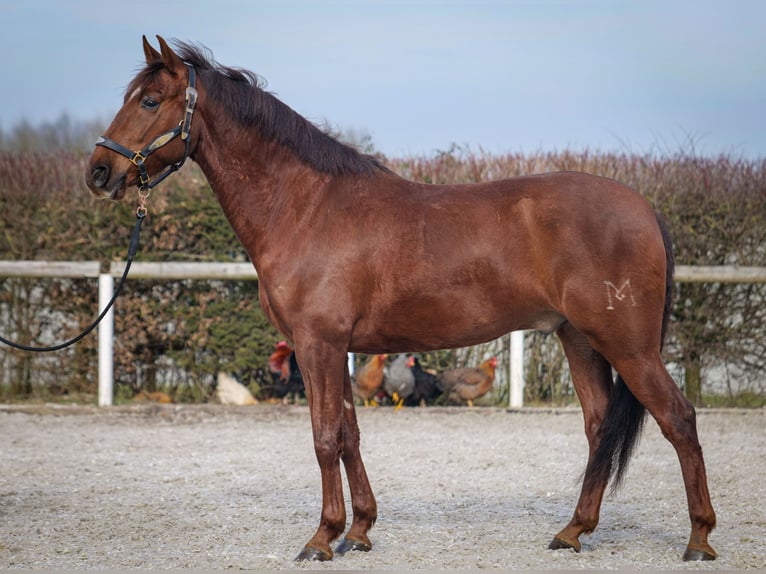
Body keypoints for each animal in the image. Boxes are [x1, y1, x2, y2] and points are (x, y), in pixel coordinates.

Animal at [85, 35, 720, 564]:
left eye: (150, 101)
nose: (98, 171)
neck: (307, 207)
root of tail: (643, 208)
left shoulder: (317, 344)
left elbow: (324, 439)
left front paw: (322, 538)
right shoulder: (337, 348)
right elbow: (349, 434)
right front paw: (359, 530)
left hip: (627, 344)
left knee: (679, 419)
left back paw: (698, 539)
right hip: (580, 339)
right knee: (598, 426)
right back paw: (572, 531)